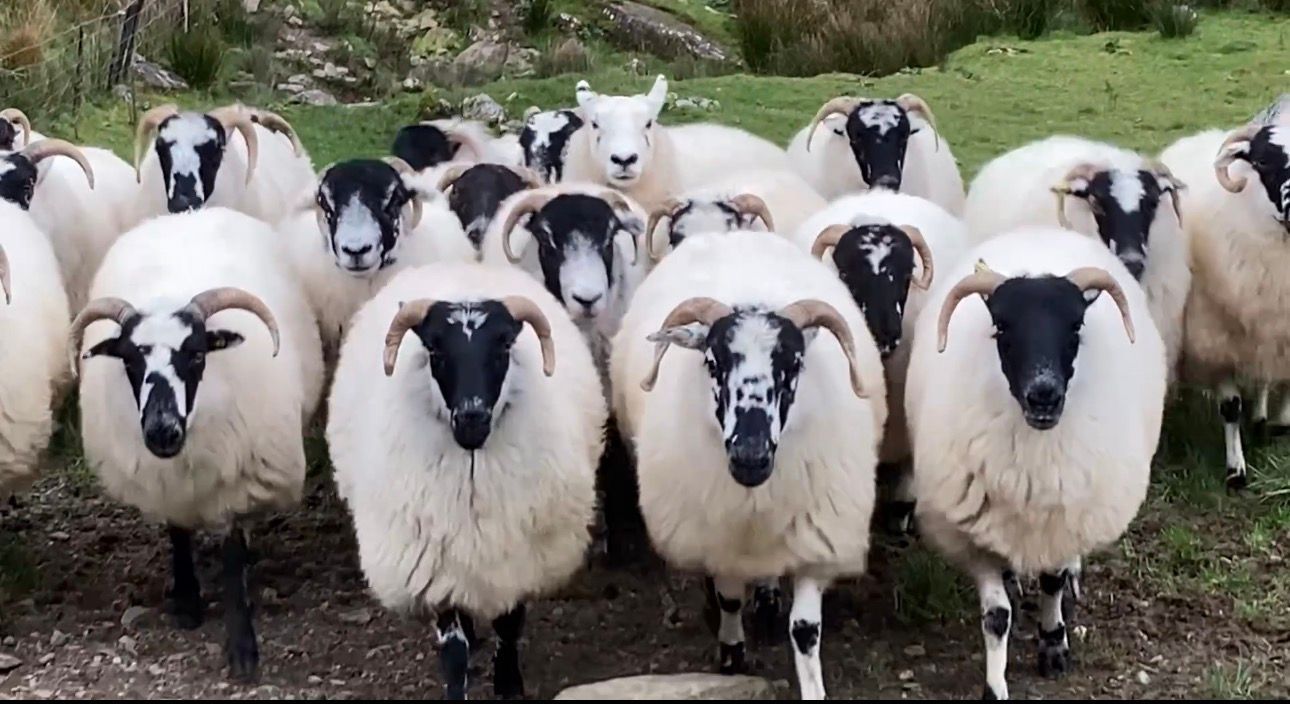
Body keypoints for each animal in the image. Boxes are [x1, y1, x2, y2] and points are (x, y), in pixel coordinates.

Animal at [70, 206, 324, 682]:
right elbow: (178, 533)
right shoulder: (164, 481)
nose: (161, 430)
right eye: (129, 361)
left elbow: (231, 555)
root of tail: (189, 213)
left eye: (198, 354)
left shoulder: (242, 479)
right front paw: (187, 600)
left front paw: (242, 649)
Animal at [327, 261, 605, 699]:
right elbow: (453, 648)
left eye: (504, 347)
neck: (474, 466)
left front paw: (508, 684)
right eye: (435, 350)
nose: (471, 418)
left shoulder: (520, 559)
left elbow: (510, 624)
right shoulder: (436, 565)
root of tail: (460, 265)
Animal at [610, 229, 886, 699]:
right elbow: (729, 598)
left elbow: (805, 628)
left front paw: (812, 683)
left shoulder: (816, 534)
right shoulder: (721, 537)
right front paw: (732, 656)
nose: (750, 456)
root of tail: (731, 232)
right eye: (711, 361)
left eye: (795, 362)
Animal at [905, 228, 1164, 699]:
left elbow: (1052, 582)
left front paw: (1053, 644)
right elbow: (996, 617)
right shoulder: (975, 533)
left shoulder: (1061, 519)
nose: (1044, 395)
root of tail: (1040, 232)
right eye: (1001, 327)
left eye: (1076, 326)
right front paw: (995, 686)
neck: (1033, 460)